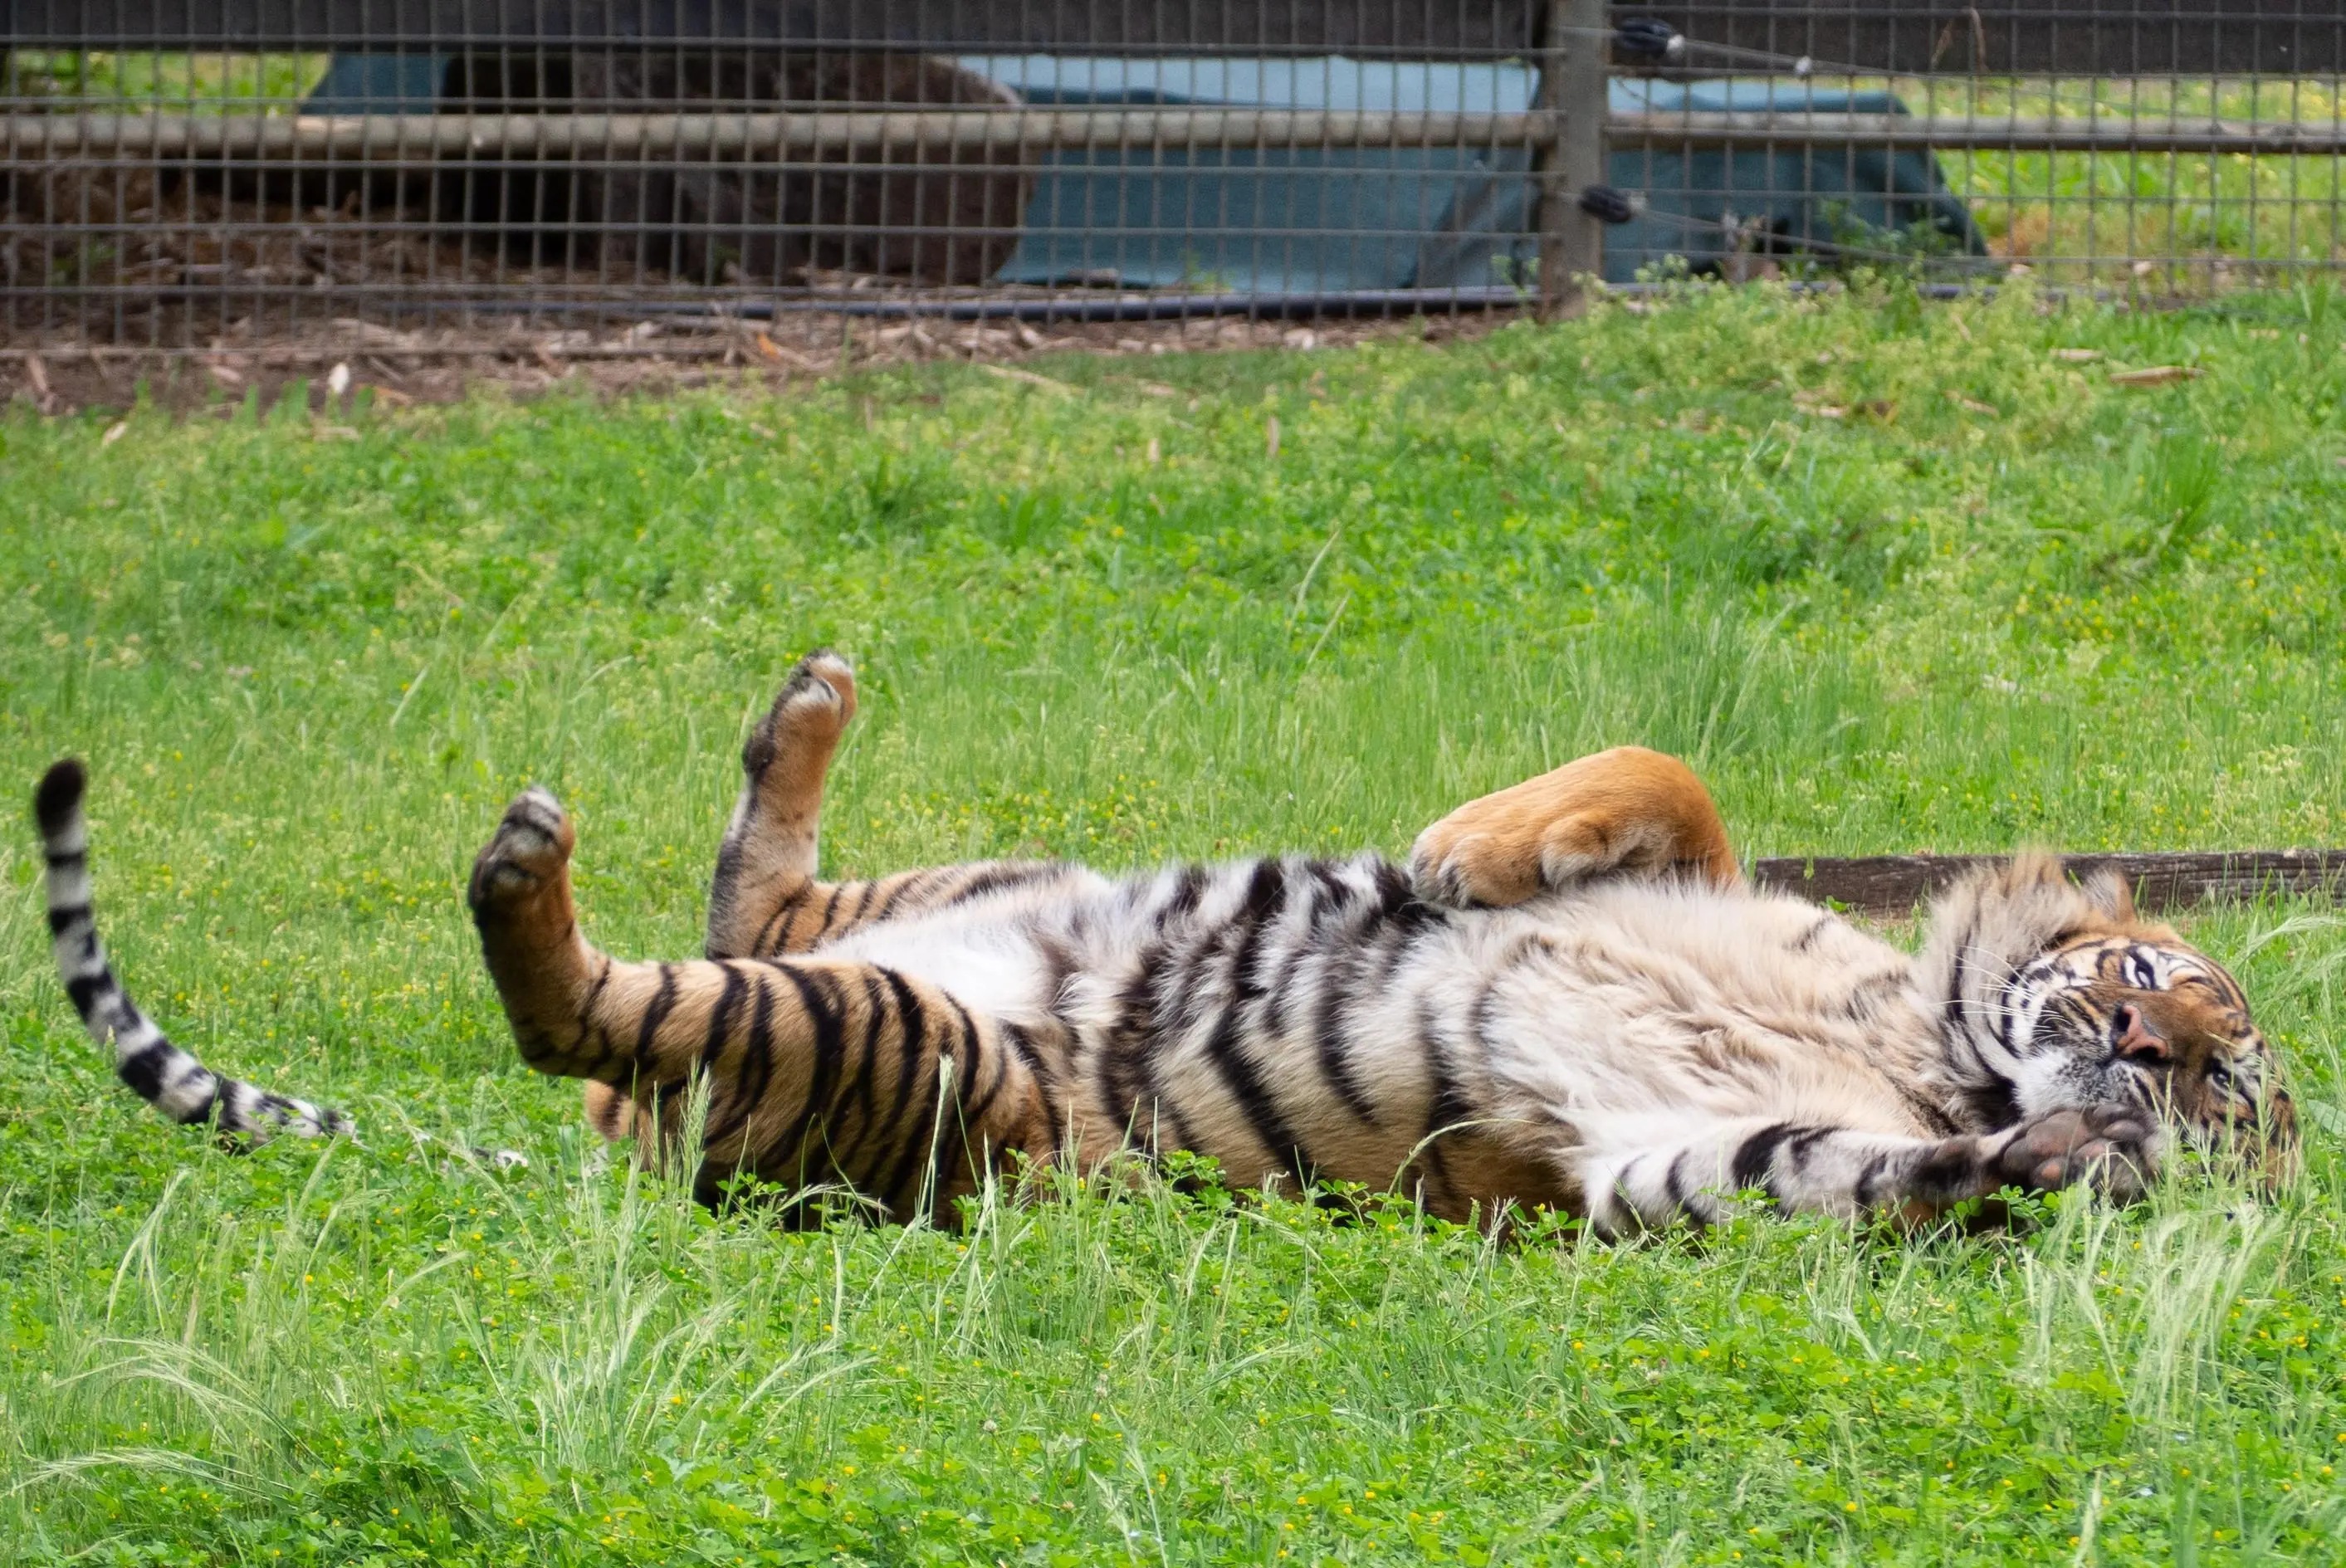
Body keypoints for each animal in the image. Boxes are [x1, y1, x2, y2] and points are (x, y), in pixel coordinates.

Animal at [27, 647, 2290, 1239]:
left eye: (2230, 1100)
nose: (2148, 1071)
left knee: (609, 996)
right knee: (744, 895)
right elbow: (1663, 778)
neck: (1929, 1048)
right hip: (965, 900)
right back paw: (798, 708)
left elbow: (1827, 1170)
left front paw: (2032, 1167)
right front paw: (1466, 846)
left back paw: (530, 874)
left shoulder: (1633, 1161)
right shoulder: (1725, 888)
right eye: (2170, 986)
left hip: (893, 1046)